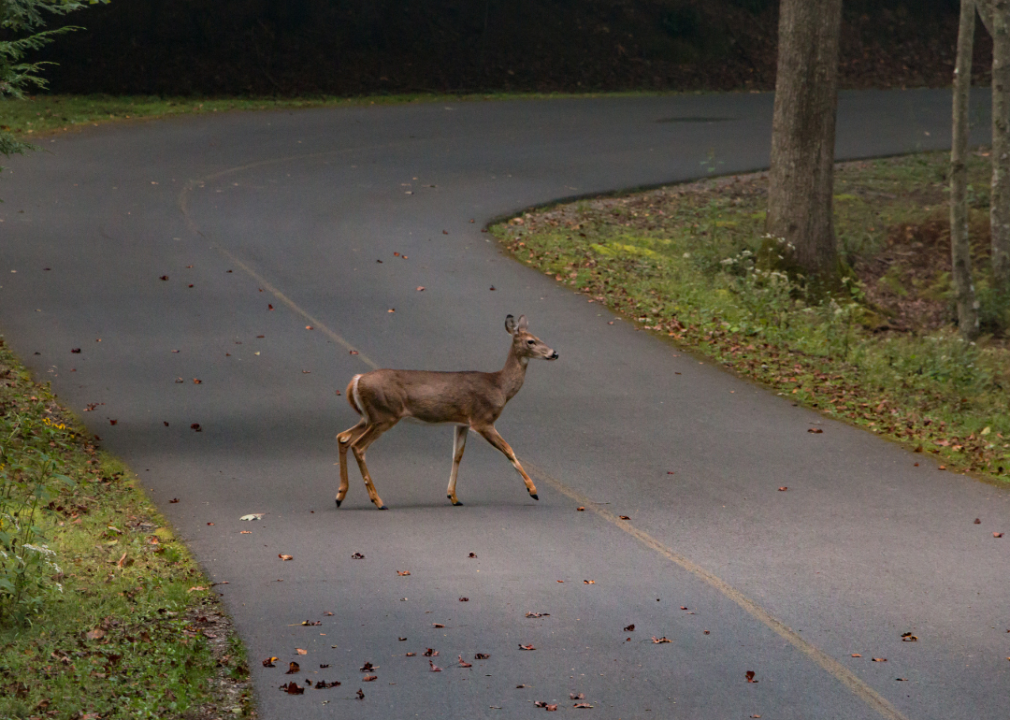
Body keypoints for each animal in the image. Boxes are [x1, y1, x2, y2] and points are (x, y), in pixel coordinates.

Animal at [339, 313, 561, 504]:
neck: (500, 387)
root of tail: (356, 380)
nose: (554, 353)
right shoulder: (482, 420)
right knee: (358, 446)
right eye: (531, 341)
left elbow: (457, 456)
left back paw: (341, 495)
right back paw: (377, 501)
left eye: (539, 337)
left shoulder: (462, 422)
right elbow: (509, 450)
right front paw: (533, 491)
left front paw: (453, 496)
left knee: (343, 438)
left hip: (369, 417)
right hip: (385, 414)